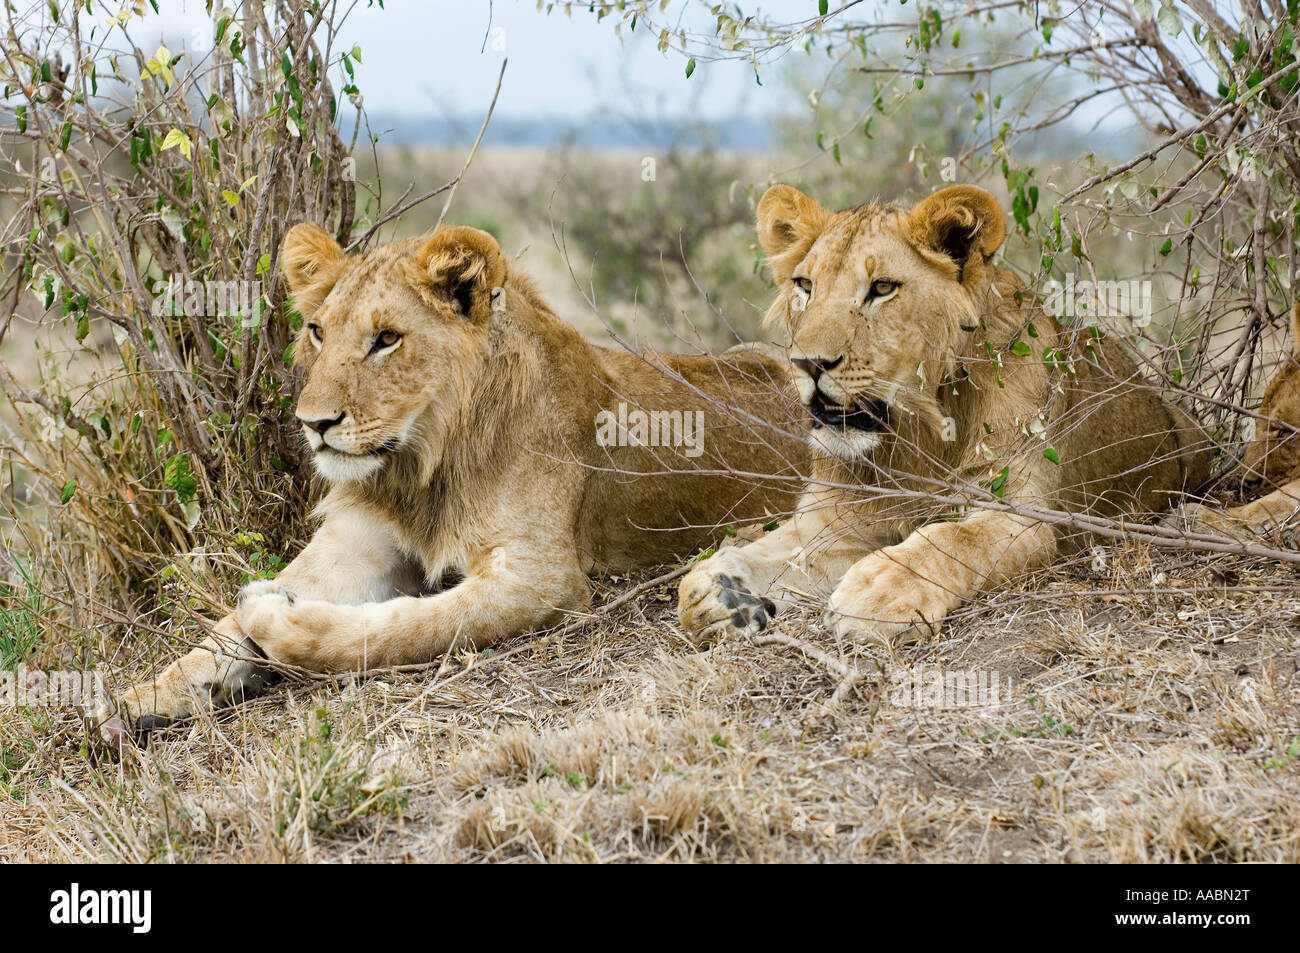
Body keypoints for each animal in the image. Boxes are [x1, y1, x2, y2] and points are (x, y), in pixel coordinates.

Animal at [99, 224, 806, 739]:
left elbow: (404, 628)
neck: (423, 467)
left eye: (387, 339)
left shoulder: (543, 579)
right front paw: (138, 699)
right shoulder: (357, 544)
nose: (314, 423)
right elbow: (216, 635)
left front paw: (276, 615)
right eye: (318, 331)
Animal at [678, 184, 1209, 647]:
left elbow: (954, 538)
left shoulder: (1025, 518)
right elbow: (779, 549)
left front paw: (880, 590)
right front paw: (719, 589)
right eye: (805, 286)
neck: (917, 432)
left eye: (882, 288)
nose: (808, 364)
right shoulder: (840, 514)